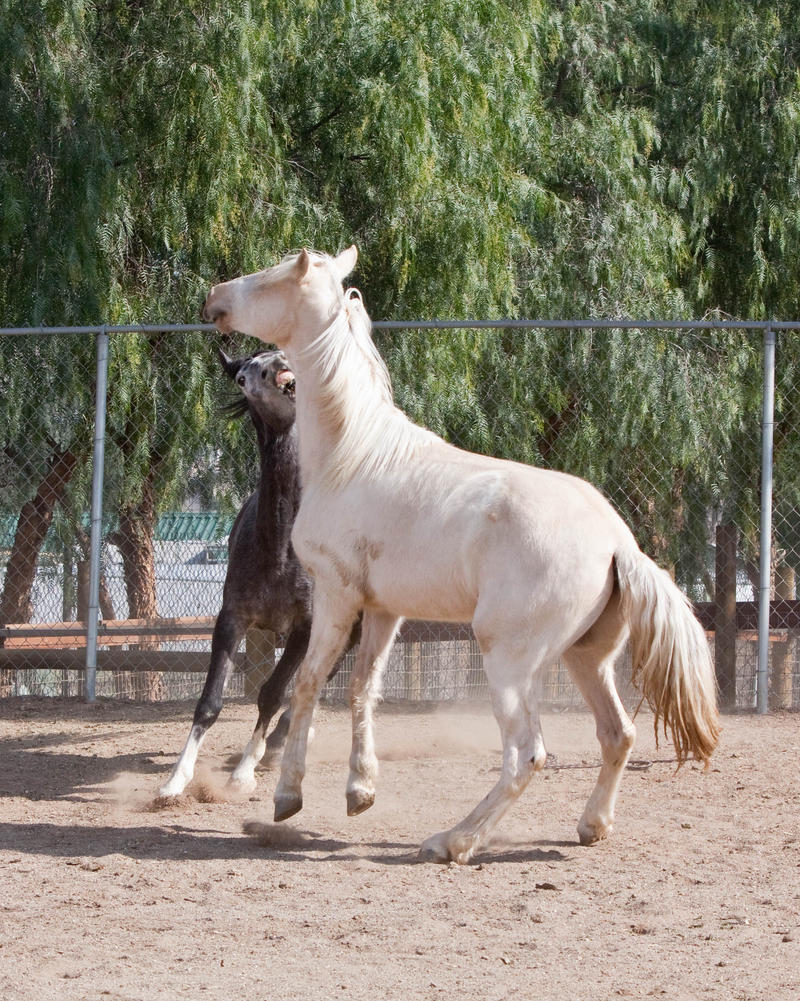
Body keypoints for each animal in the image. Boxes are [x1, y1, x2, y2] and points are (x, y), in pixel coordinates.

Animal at [159, 348, 354, 792]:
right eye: (243, 377)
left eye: (284, 356)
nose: (282, 374)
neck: (282, 548)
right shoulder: (233, 618)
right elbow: (209, 701)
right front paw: (176, 779)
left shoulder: (305, 628)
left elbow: (271, 693)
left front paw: (244, 771)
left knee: (319, 680)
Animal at [203, 246, 720, 864]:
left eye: (277, 277)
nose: (214, 298)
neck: (354, 454)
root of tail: (620, 542)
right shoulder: (383, 610)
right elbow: (362, 689)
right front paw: (360, 792)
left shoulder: (334, 594)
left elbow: (304, 687)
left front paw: (288, 797)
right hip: (586, 658)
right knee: (618, 734)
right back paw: (591, 826)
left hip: (509, 662)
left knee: (527, 754)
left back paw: (452, 841)